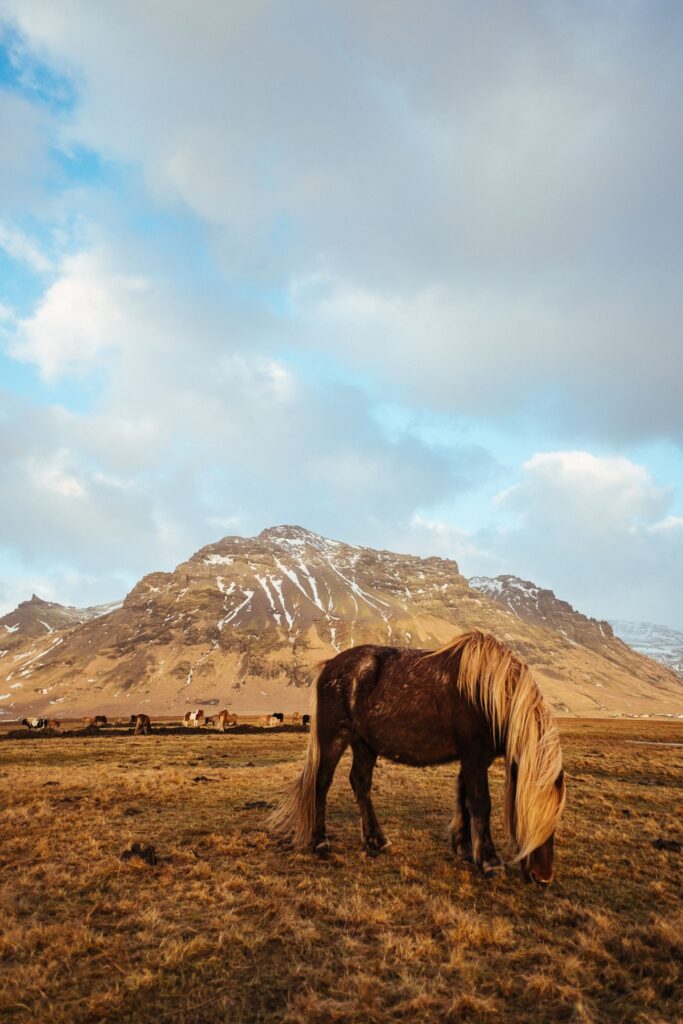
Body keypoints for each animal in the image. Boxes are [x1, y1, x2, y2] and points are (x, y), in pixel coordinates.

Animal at [266, 626, 565, 884]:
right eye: (532, 813)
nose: (543, 877)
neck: (489, 694)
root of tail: (329, 666)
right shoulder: (474, 757)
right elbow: (481, 803)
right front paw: (490, 862)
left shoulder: (471, 759)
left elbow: (464, 799)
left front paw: (464, 847)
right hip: (334, 739)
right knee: (322, 783)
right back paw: (321, 842)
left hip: (365, 744)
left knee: (360, 782)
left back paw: (376, 841)